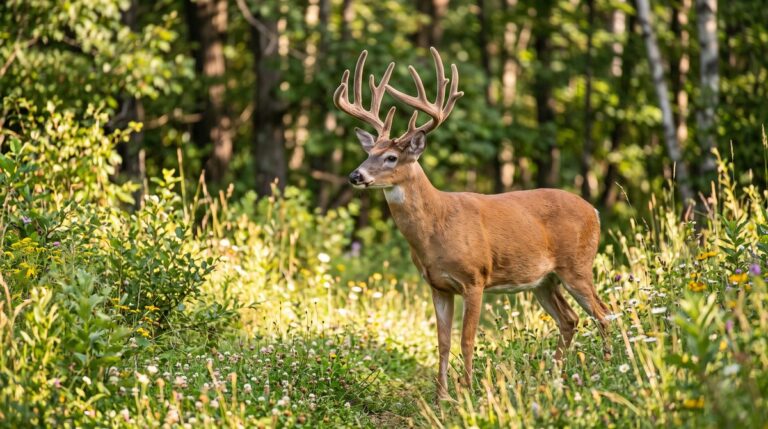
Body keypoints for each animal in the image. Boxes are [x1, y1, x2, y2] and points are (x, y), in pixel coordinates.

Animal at [334, 47, 612, 400]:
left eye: (391, 158)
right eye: (370, 153)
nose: (355, 175)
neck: (435, 228)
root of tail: (595, 211)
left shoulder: (475, 278)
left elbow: (466, 340)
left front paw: (466, 392)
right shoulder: (437, 285)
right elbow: (442, 342)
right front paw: (440, 397)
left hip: (577, 265)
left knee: (603, 313)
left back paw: (609, 369)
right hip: (544, 280)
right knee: (570, 319)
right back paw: (556, 377)